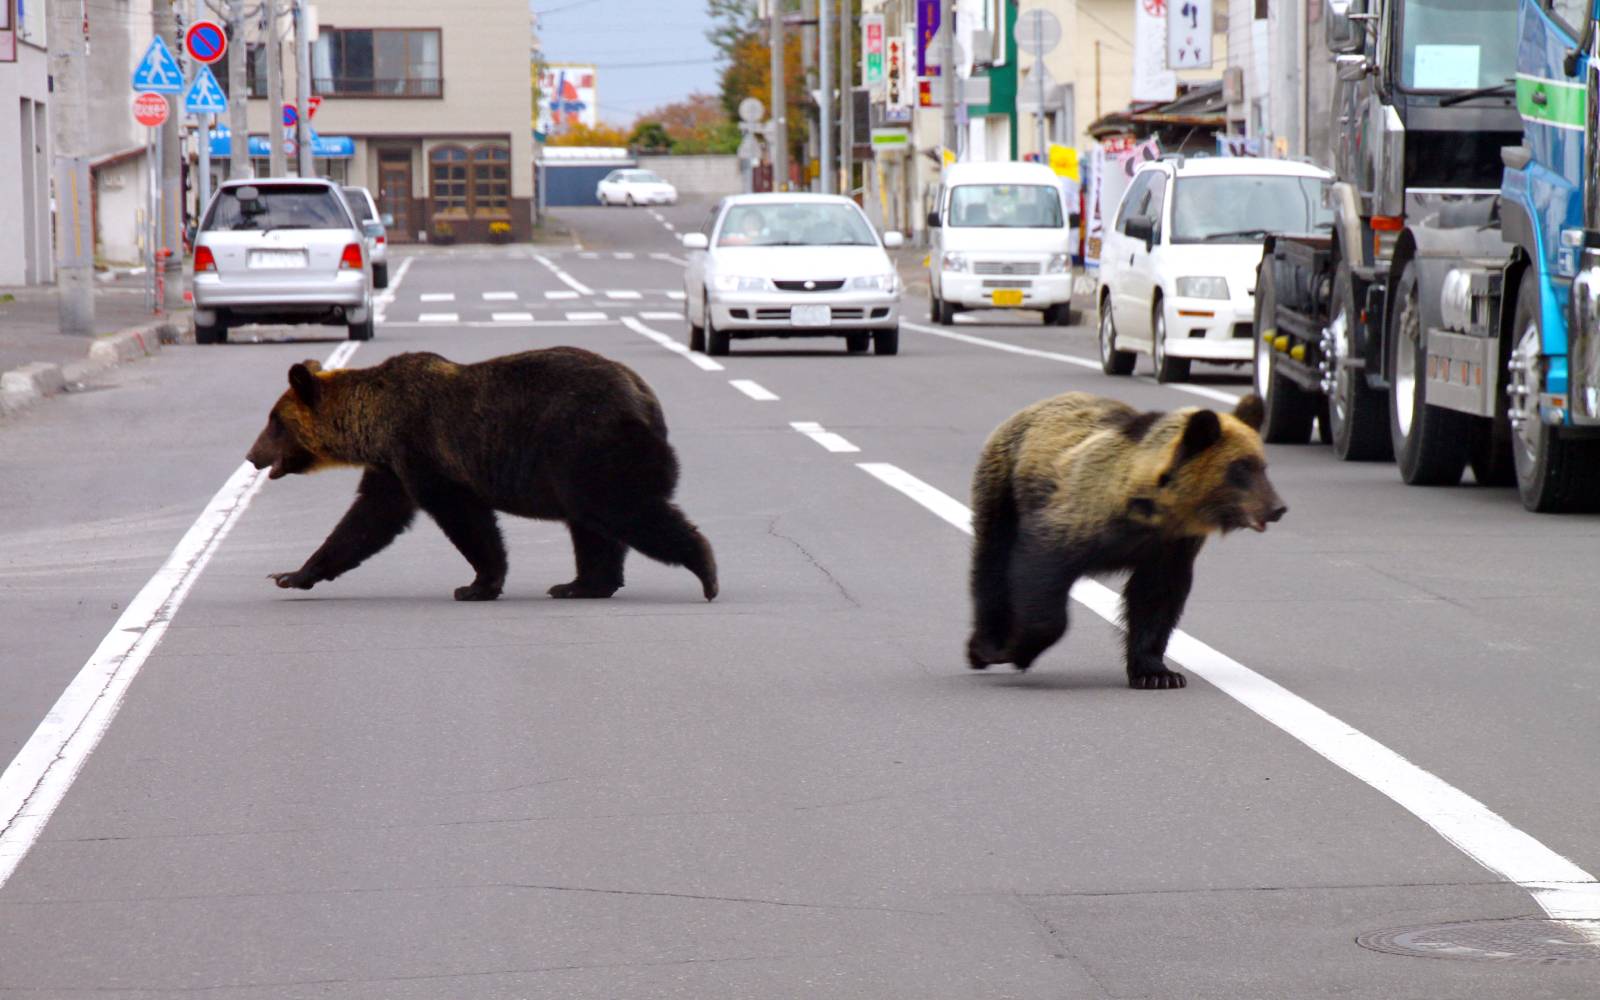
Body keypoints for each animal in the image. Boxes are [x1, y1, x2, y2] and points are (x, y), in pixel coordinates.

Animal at [245, 347, 718, 603]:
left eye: (274, 422)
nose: (252, 456)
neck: (374, 425)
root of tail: (645, 398)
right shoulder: (392, 467)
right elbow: (366, 521)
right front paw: (291, 574)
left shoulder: (423, 451)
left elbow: (463, 518)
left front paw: (476, 584)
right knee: (592, 526)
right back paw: (579, 584)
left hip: (588, 446)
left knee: (623, 510)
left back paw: (705, 571)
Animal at [966, 391, 1284, 689]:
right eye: (1240, 467)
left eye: (1263, 465)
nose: (1277, 508)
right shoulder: (1076, 519)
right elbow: (1039, 572)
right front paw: (1017, 650)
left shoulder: (1170, 547)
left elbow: (1156, 599)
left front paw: (1158, 674)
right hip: (1004, 486)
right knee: (992, 560)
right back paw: (984, 645)